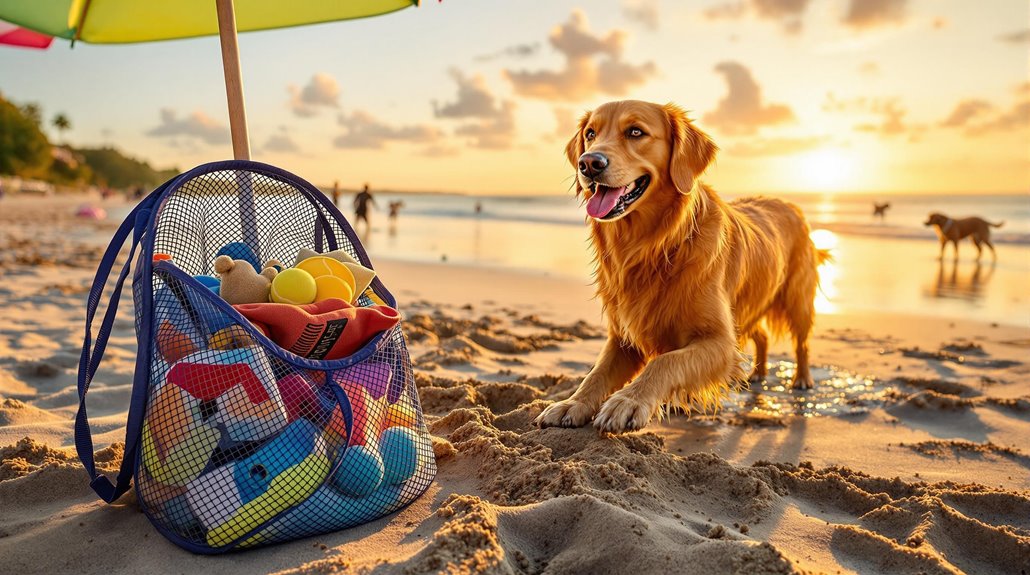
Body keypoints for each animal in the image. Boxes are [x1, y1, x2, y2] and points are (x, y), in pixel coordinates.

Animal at [535, 100, 832, 432]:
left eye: (635, 132)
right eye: (590, 133)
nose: (588, 163)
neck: (655, 247)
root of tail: (788, 203)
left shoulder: (720, 341)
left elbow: (664, 361)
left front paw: (628, 401)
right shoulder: (623, 337)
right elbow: (595, 373)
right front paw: (572, 403)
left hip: (797, 299)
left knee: (802, 343)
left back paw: (802, 379)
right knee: (763, 336)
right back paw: (757, 373)